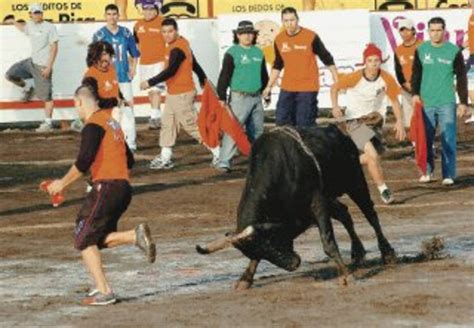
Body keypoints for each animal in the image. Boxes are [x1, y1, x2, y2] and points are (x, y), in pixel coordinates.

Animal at [196, 124, 396, 288]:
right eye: (261, 250)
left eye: (272, 240)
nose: (293, 264)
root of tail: (338, 132)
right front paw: (245, 279)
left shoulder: (317, 203)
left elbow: (328, 242)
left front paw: (346, 276)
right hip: (332, 196)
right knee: (345, 214)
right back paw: (358, 251)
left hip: (355, 182)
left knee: (370, 214)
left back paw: (387, 253)